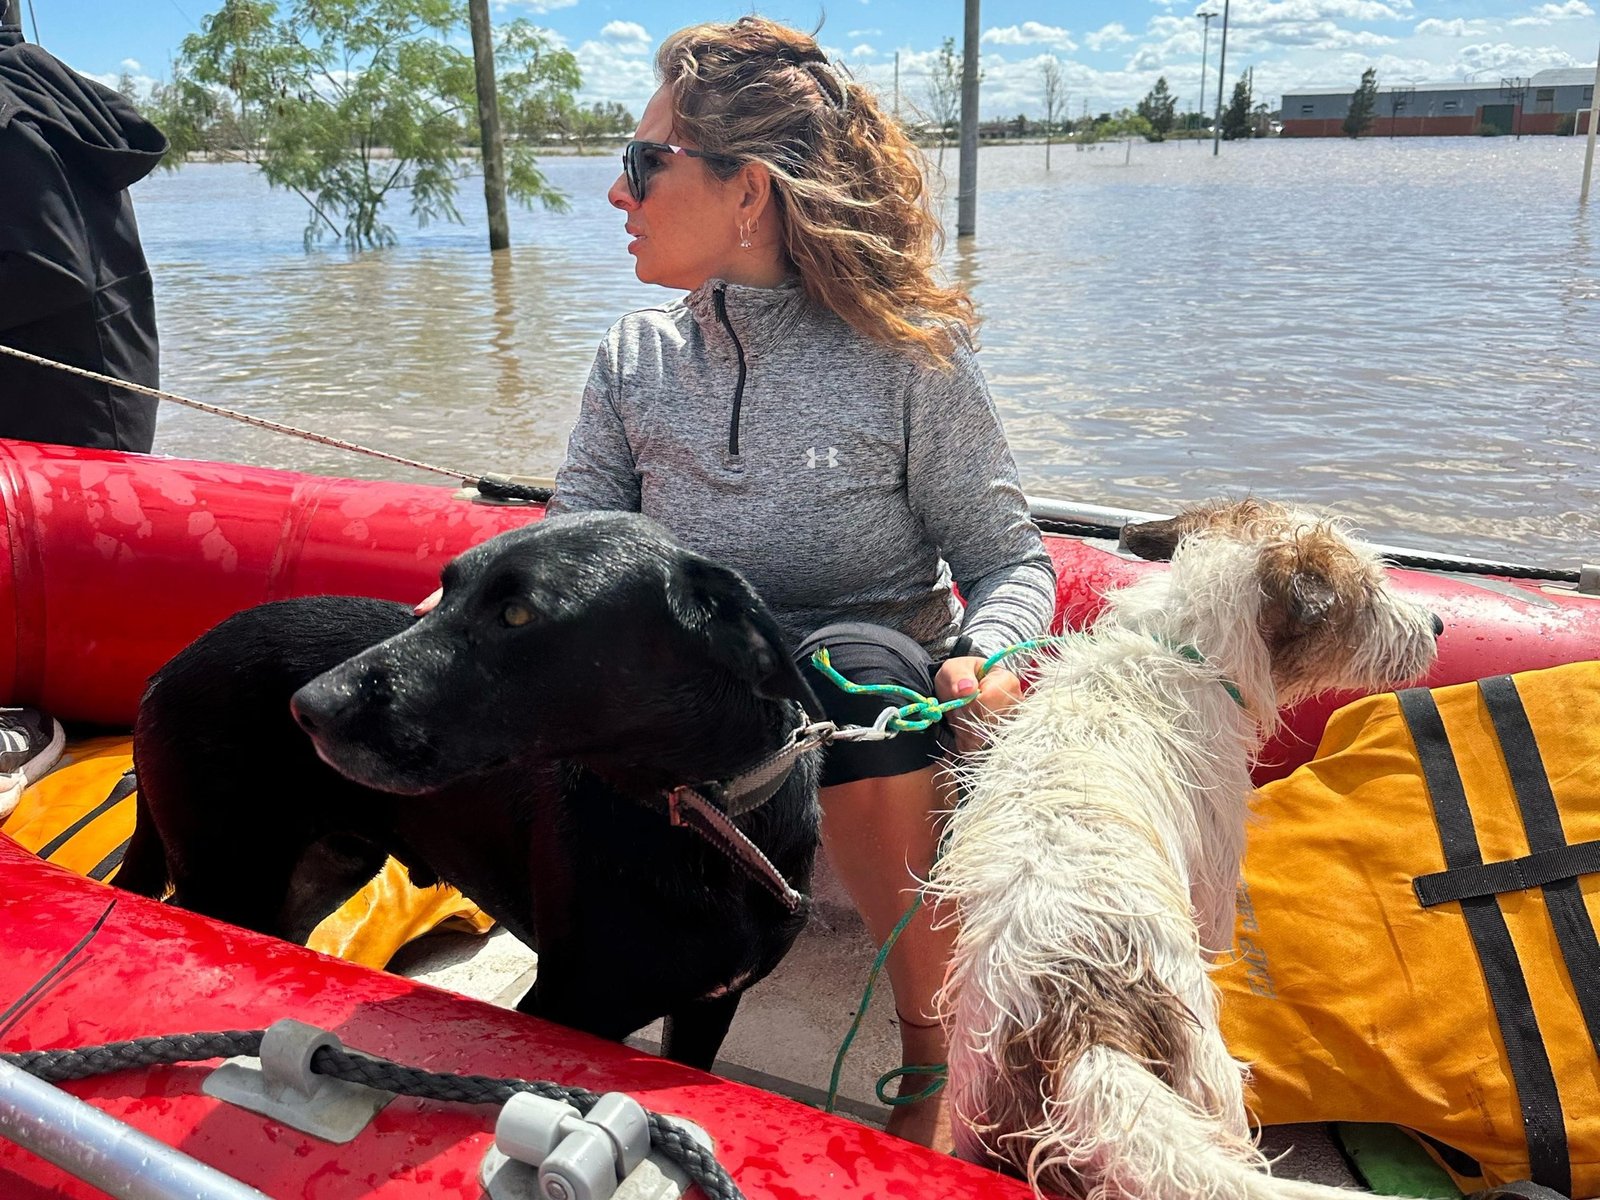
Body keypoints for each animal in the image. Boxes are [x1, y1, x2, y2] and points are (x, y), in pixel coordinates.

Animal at [121, 515, 825, 1068]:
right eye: (444, 593)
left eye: (517, 613)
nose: (307, 708)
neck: (699, 819)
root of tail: (164, 671)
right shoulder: (567, 1005)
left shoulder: (710, 1008)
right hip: (228, 876)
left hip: (318, 870)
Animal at [934, 499, 1446, 1200]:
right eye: (1365, 591)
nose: (1439, 624)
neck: (1188, 649)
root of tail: (1083, 1015)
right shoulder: (1214, 886)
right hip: (1210, 1080)